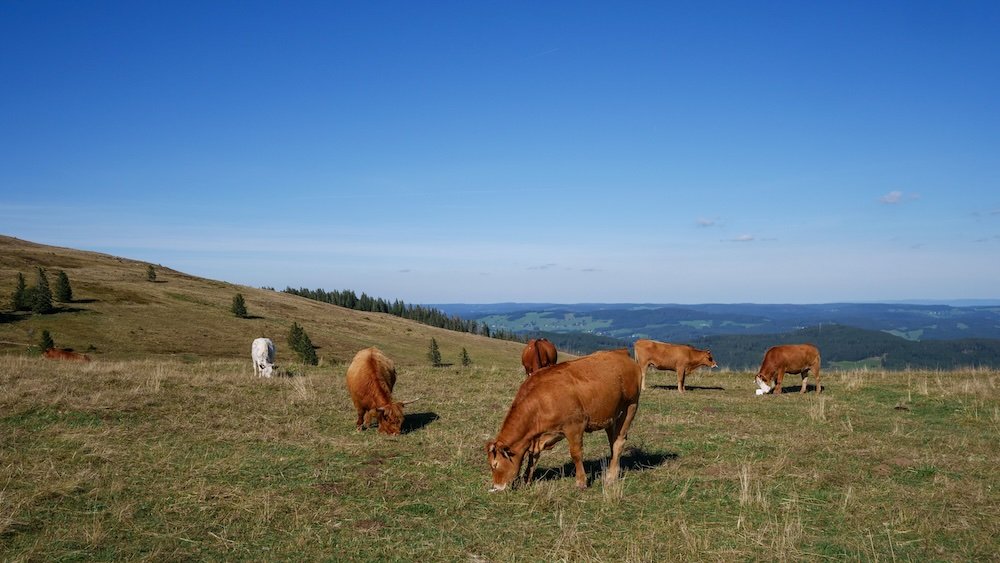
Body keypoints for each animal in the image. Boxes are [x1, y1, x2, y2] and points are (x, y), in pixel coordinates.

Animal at [484, 350, 640, 492]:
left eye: (495, 465)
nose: (496, 487)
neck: (541, 401)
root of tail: (621, 353)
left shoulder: (575, 426)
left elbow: (576, 454)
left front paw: (581, 482)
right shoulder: (537, 438)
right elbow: (532, 457)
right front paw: (526, 480)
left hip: (630, 406)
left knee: (619, 442)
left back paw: (611, 478)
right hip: (611, 416)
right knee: (613, 442)